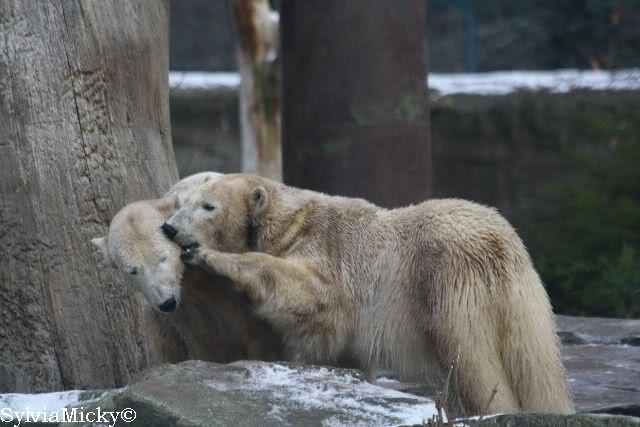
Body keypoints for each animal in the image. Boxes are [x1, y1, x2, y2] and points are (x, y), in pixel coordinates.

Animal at [163, 173, 574, 417]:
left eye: (208, 206)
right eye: (185, 201)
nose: (169, 228)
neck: (288, 222)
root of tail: (502, 243)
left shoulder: (328, 251)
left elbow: (315, 295)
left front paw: (208, 256)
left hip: (450, 284)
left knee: (470, 360)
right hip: (525, 303)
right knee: (537, 369)